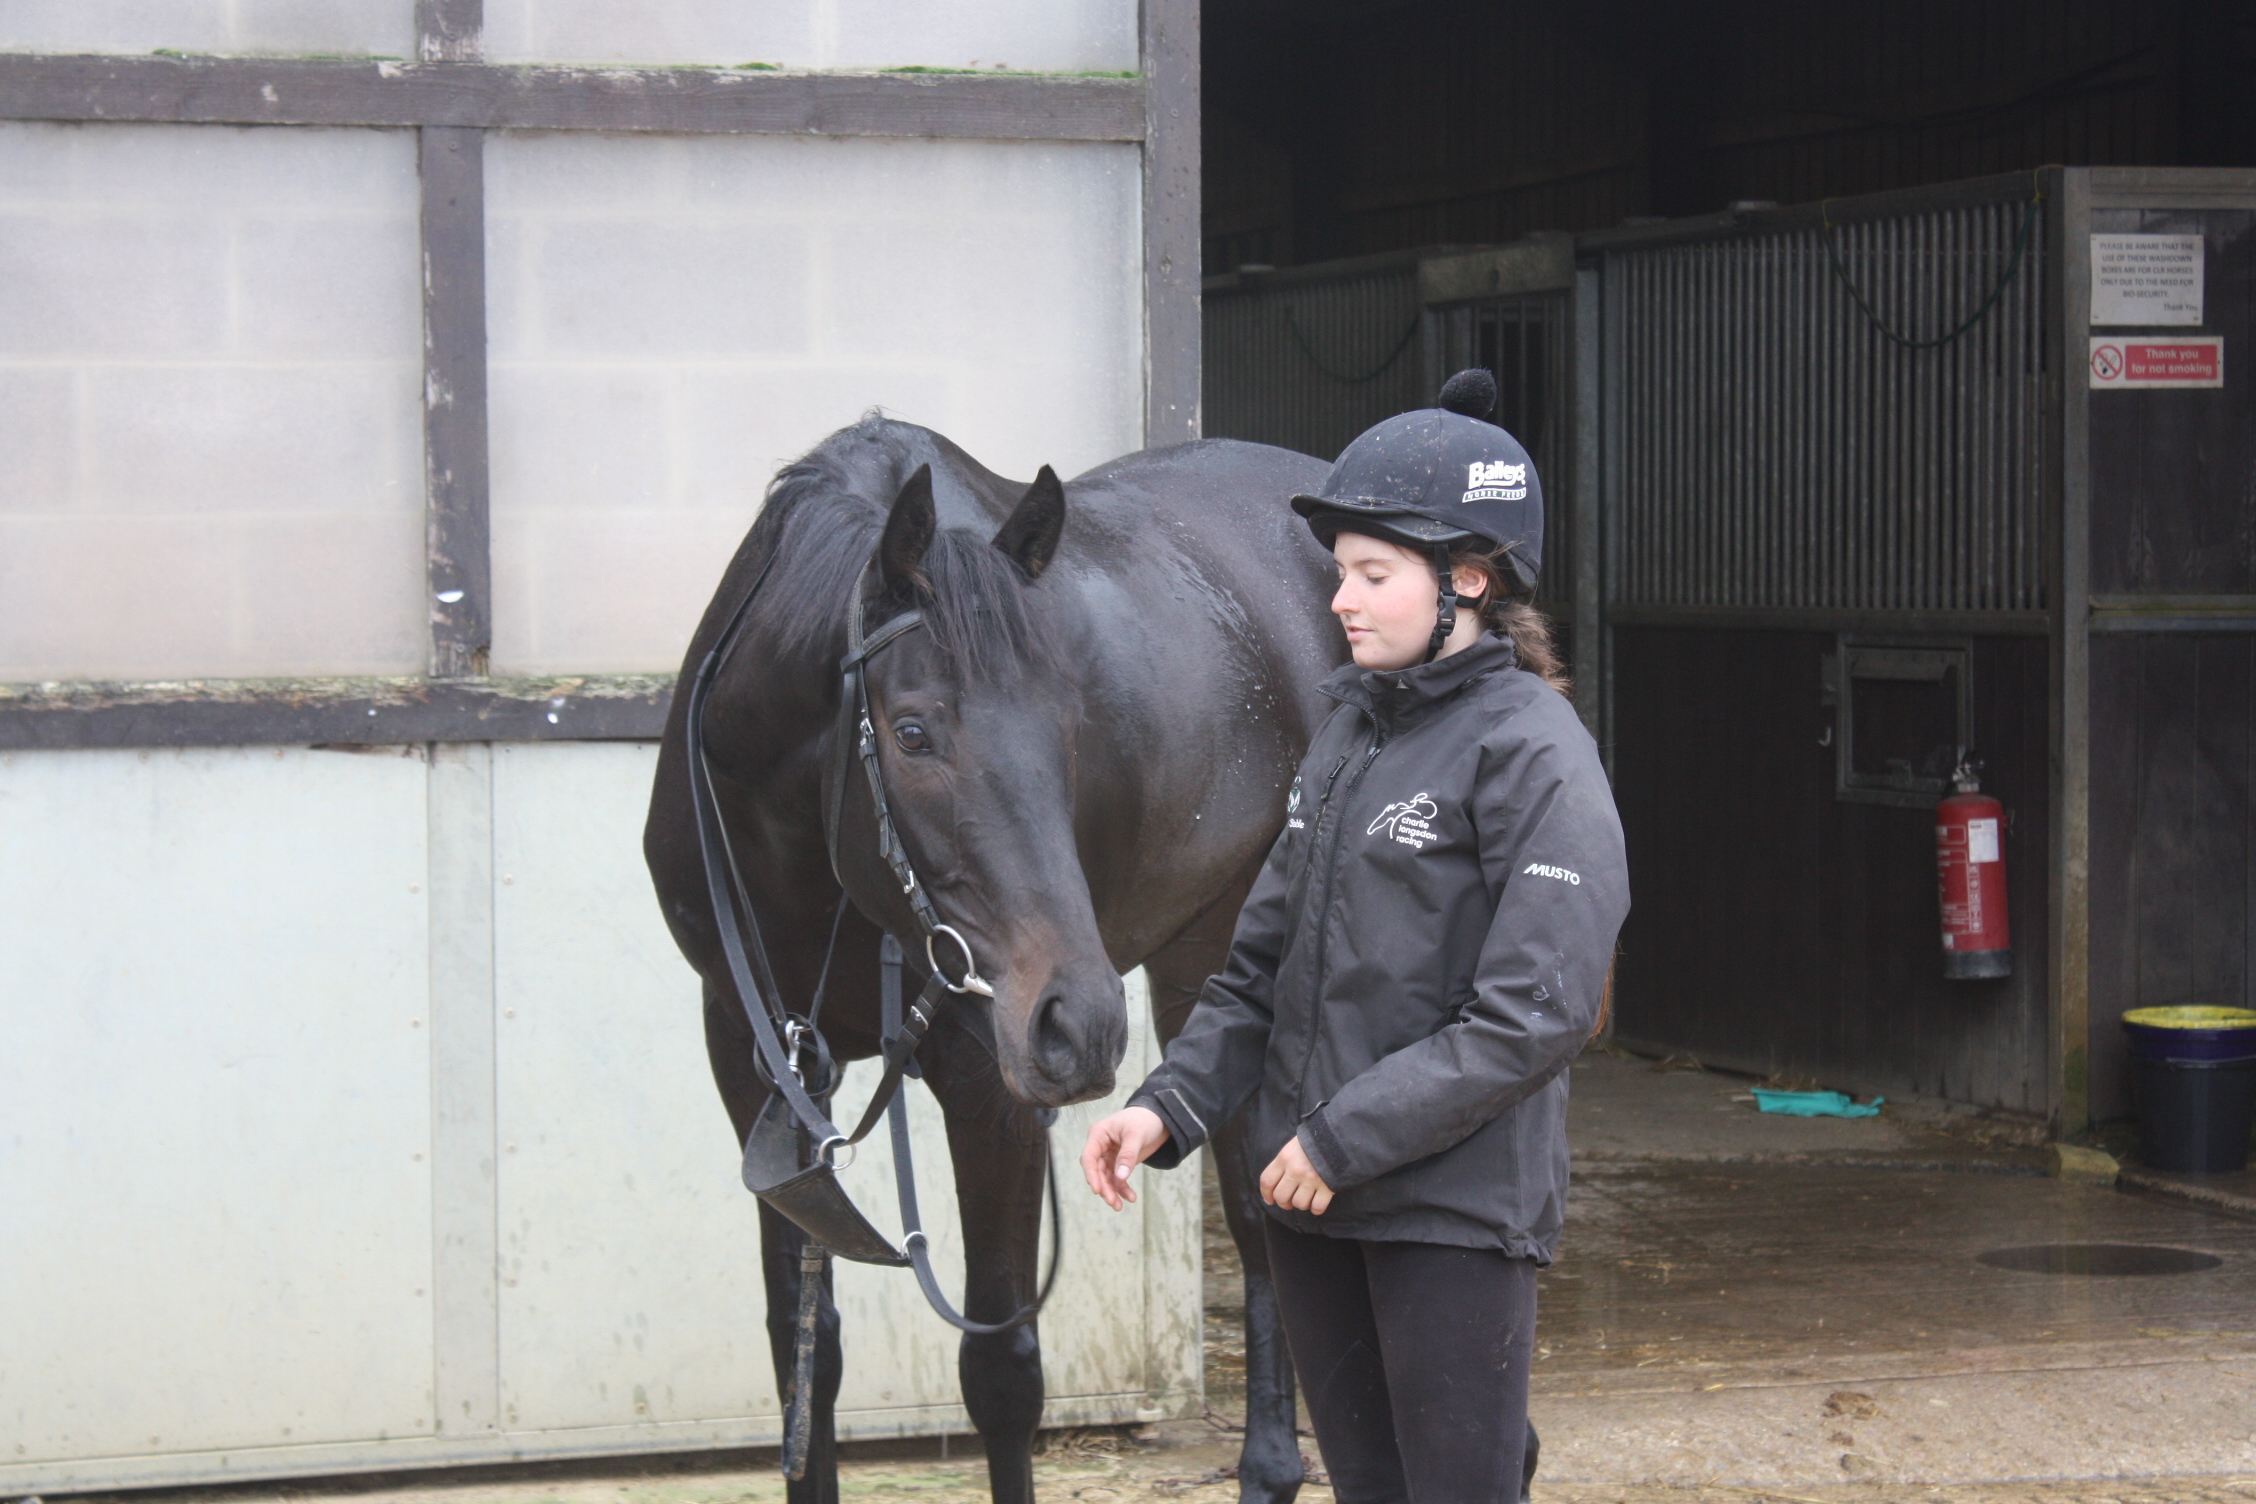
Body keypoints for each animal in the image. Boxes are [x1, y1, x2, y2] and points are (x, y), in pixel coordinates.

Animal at [640, 417, 1335, 1504]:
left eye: (1073, 727)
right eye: (913, 731)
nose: (1079, 1022)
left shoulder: (989, 1079)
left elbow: (1001, 1370)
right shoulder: (757, 1058)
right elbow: (806, 1352)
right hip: (1204, 962)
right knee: (1253, 1196)